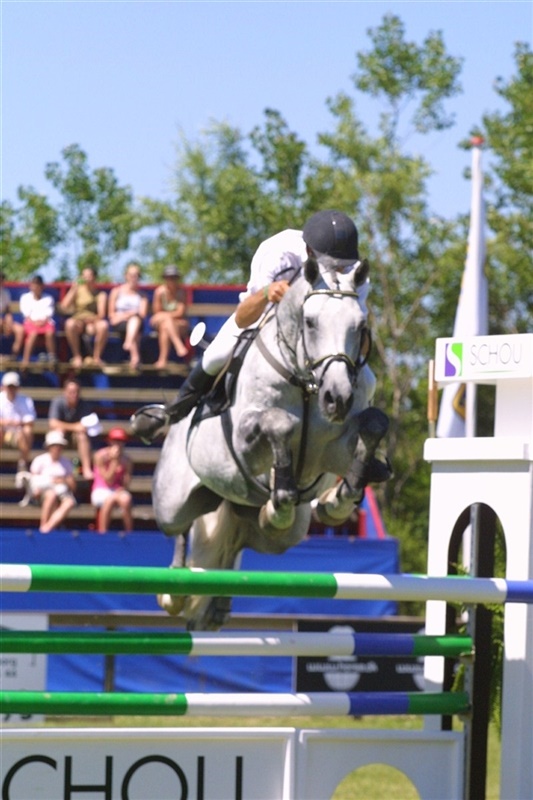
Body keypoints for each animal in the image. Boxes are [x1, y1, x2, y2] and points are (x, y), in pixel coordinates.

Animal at [151, 257, 389, 629]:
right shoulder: (244, 444)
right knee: (179, 528)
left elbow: (374, 426)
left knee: (241, 541)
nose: (337, 399)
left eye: (360, 325)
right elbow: (281, 424)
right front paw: (285, 489)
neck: (307, 384)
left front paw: (336, 501)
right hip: (172, 502)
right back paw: (174, 593)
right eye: (310, 322)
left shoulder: (334, 448)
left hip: (279, 533)